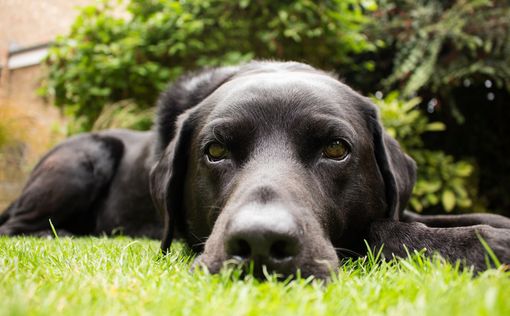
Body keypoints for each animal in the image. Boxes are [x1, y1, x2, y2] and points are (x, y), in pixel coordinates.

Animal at [0, 61, 510, 276]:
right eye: (215, 151)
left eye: (336, 149)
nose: (262, 243)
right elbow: (383, 231)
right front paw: (484, 244)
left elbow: (429, 217)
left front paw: (493, 225)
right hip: (85, 157)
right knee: (16, 225)